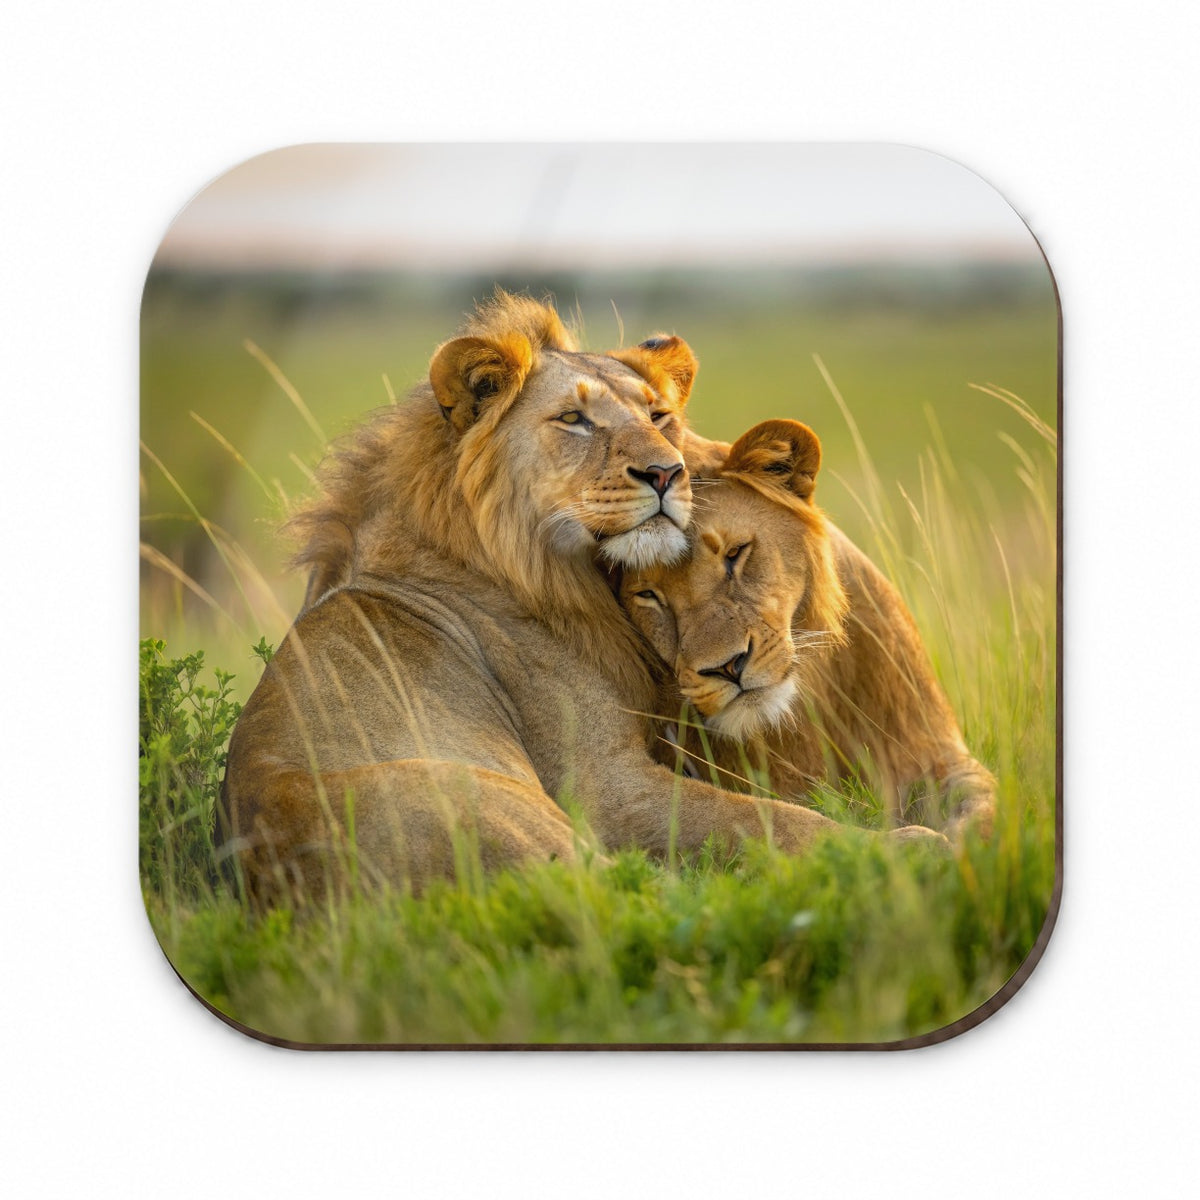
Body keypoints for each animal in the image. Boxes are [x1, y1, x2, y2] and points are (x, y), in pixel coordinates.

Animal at [217, 296, 943, 901]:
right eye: (574, 419)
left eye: (658, 415)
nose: (667, 472)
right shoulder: (604, 788)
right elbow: (773, 822)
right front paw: (910, 846)